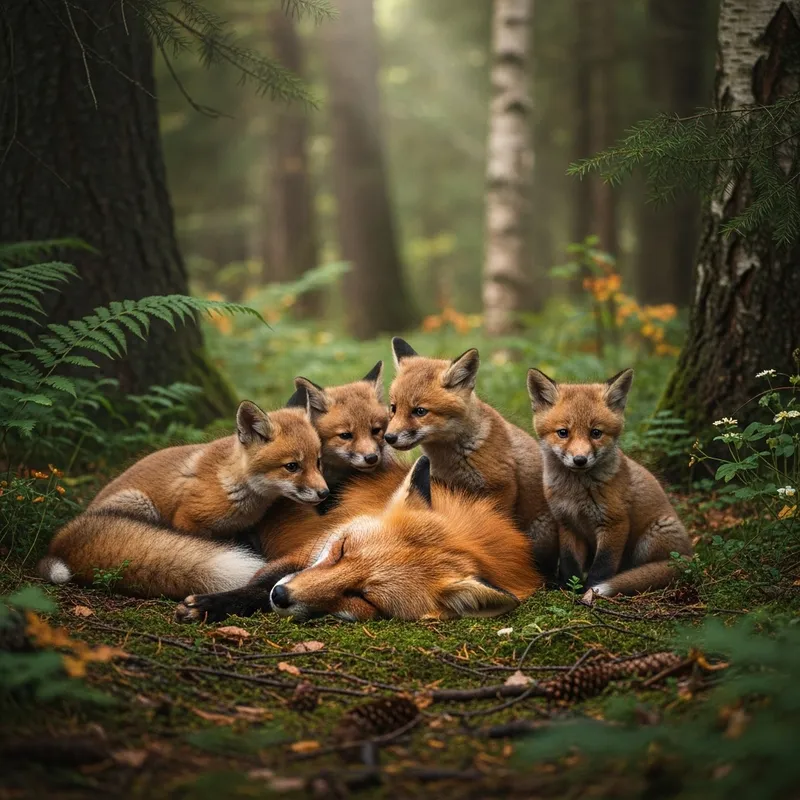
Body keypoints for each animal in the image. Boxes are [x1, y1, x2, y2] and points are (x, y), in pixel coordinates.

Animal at [36, 400, 328, 598]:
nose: (325, 493)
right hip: (140, 504)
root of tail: (60, 542)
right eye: (292, 466)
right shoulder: (187, 518)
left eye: (318, 462)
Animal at [175, 456, 543, 623]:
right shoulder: (308, 549)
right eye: (340, 551)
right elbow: (259, 581)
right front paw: (215, 603)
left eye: (362, 598)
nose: (281, 596)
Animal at [526, 367, 692, 597]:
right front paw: (569, 588)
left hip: (652, 538)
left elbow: (602, 567)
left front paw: (590, 593)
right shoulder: (567, 523)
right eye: (563, 433)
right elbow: (570, 563)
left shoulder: (615, 523)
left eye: (596, 433)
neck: (575, 493)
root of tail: (691, 555)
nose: (580, 460)